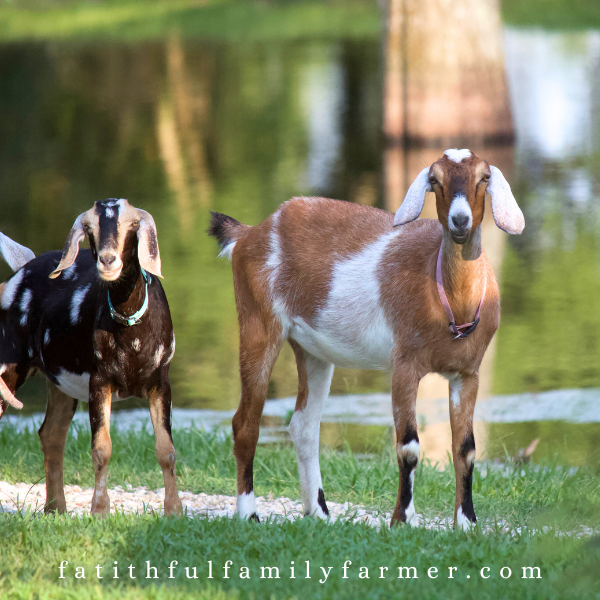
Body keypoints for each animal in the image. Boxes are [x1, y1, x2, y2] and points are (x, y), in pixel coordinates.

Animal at [0, 200, 182, 516]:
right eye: (89, 229)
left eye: (134, 224)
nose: (108, 260)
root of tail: (21, 268)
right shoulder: (100, 380)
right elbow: (101, 449)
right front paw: (100, 511)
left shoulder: (160, 380)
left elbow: (166, 450)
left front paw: (174, 512)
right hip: (10, 362)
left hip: (59, 382)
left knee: (51, 433)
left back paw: (56, 509)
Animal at [209, 150, 524, 528]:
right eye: (434, 180)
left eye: (484, 177)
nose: (459, 220)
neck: (451, 301)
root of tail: (250, 232)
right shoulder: (404, 365)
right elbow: (409, 446)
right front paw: (402, 519)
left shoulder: (468, 373)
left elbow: (466, 449)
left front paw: (466, 523)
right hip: (258, 321)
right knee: (246, 422)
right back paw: (249, 514)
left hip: (312, 349)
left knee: (303, 425)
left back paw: (319, 512)